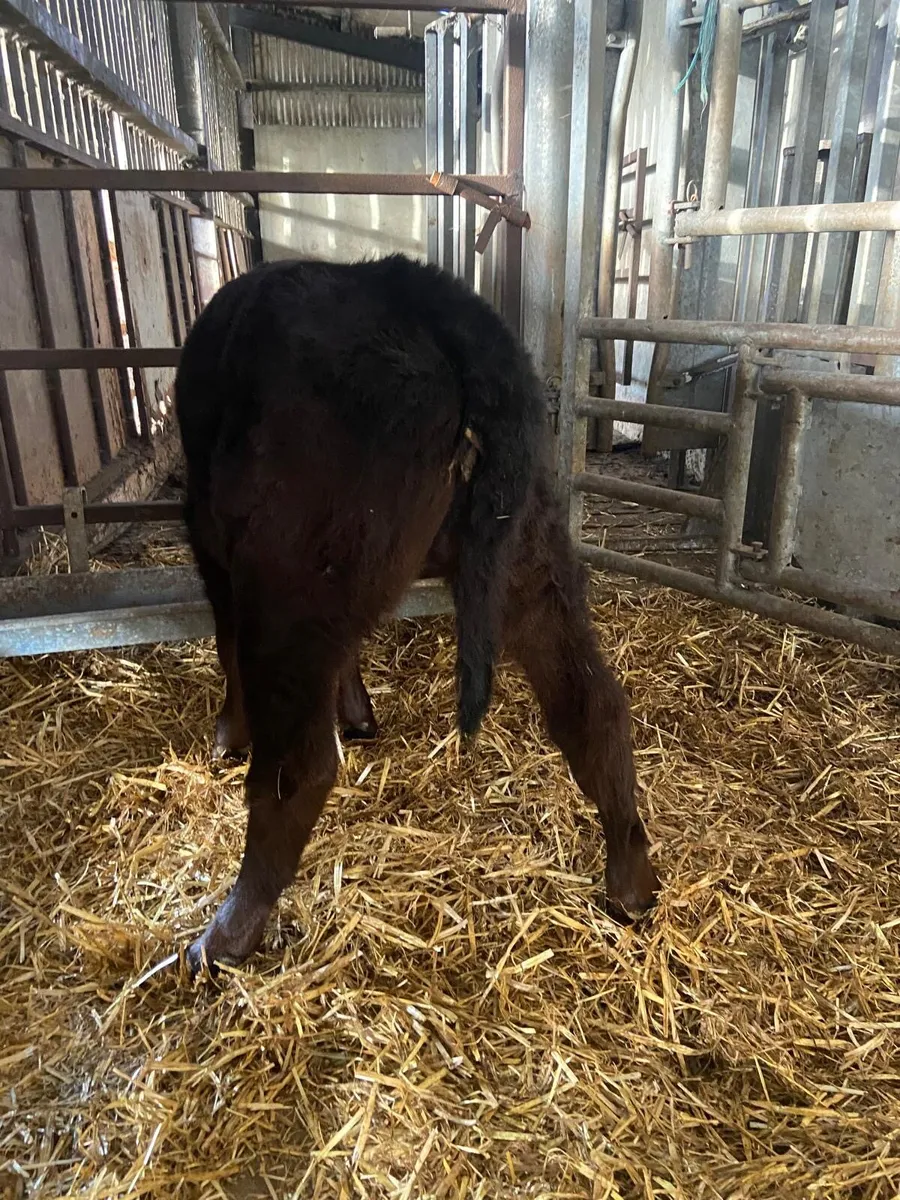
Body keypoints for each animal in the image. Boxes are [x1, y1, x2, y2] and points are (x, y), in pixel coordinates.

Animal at [175, 255, 659, 974]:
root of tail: (416, 292)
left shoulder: (211, 541)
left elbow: (223, 641)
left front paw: (228, 736)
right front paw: (357, 711)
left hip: (290, 577)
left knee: (298, 767)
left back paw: (226, 935)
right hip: (528, 550)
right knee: (593, 704)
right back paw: (631, 881)